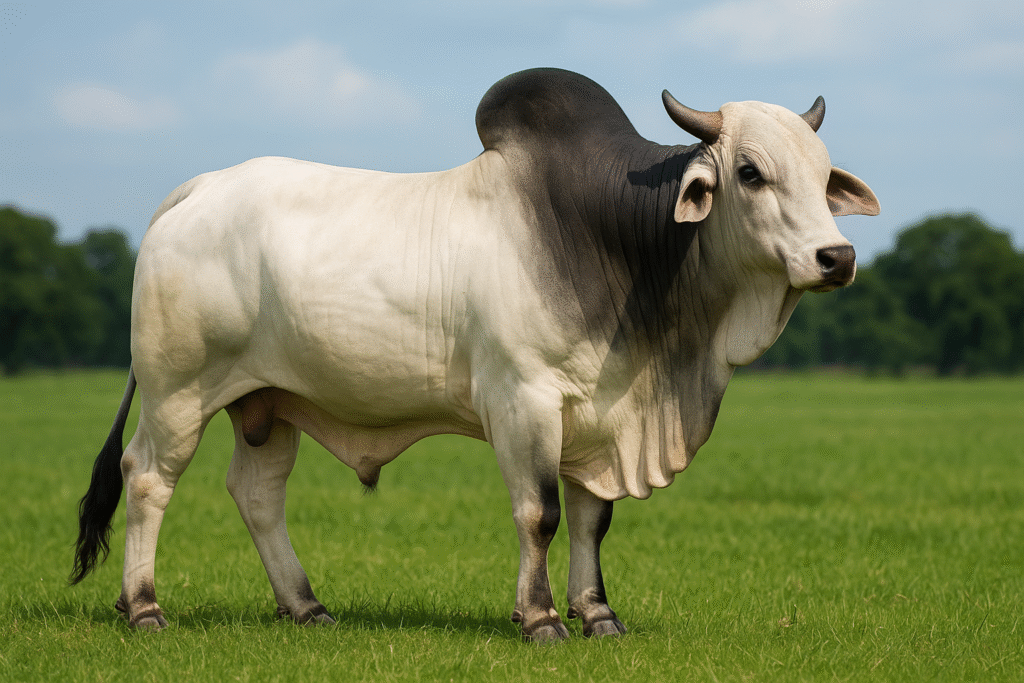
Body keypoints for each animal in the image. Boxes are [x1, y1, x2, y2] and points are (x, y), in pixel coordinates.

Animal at [70, 68, 879, 642]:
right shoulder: (523, 400)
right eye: (750, 172)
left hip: (265, 403)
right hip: (179, 392)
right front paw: (542, 619)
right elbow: (540, 512)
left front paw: (598, 615)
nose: (835, 257)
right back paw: (143, 607)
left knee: (258, 494)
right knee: (148, 477)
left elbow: (591, 520)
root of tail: (195, 190)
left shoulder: (599, 417)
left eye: (823, 176)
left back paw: (305, 605)